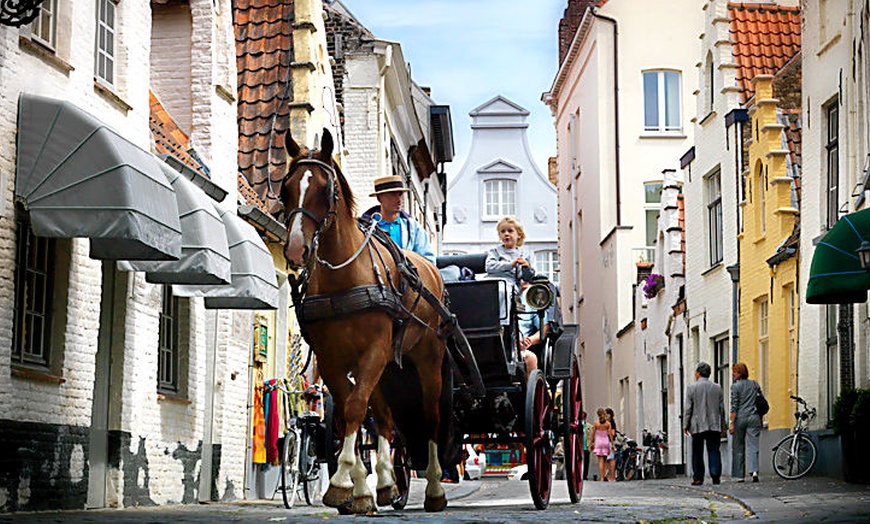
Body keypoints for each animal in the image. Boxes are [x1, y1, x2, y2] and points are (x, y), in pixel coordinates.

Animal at [282, 129, 450, 512]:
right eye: (286, 188)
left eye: (325, 190)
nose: (296, 249)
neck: (343, 278)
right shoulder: (332, 359)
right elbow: (349, 415)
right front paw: (357, 490)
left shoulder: (372, 352)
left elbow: (357, 407)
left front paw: (342, 481)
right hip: (387, 368)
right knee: (386, 419)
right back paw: (387, 484)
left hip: (427, 357)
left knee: (431, 418)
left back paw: (434, 490)